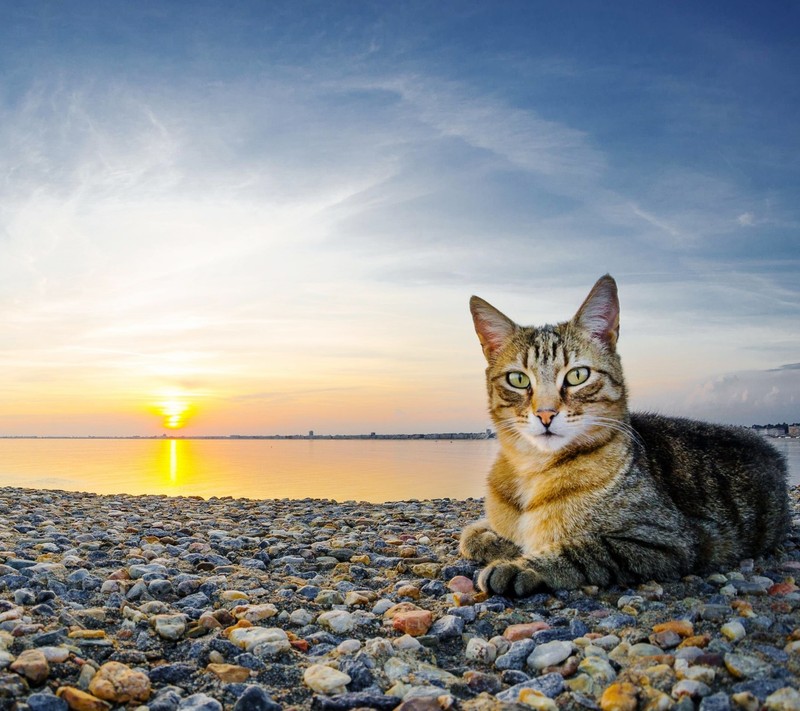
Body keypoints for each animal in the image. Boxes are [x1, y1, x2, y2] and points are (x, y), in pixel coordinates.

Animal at [460, 276, 792, 596]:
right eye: (518, 379)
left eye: (577, 375)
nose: (545, 413)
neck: (532, 468)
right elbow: (471, 534)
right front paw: (498, 541)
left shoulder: (667, 541)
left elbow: (586, 549)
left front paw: (522, 566)